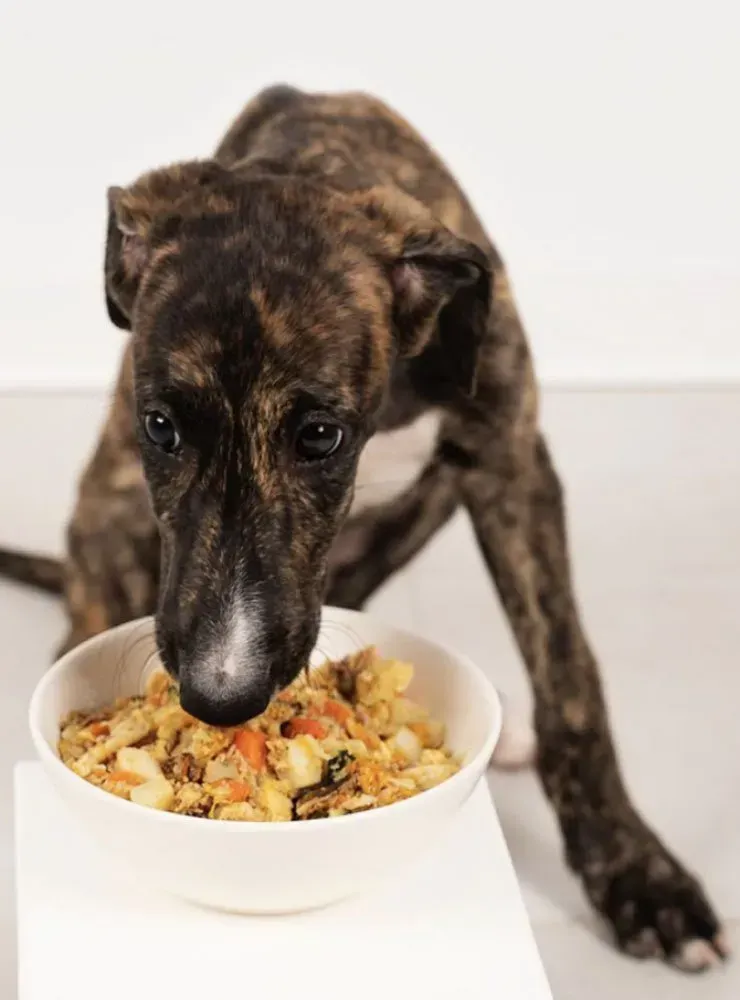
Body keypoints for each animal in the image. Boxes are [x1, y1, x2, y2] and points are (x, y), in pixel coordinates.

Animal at [0, 84, 724, 968]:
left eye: (321, 436)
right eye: (161, 426)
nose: (218, 697)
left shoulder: (512, 462)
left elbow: (571, 679)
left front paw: (639, 876)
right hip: (109, 527)